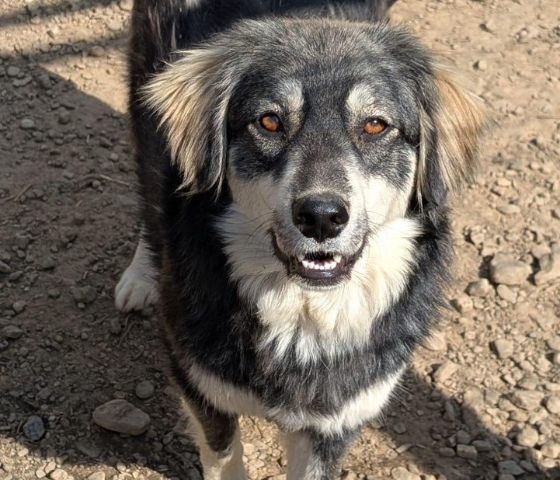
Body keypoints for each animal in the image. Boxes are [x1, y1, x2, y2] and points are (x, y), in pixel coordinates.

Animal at [114, 1, 484, 478]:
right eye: (269, 121)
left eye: (375, 125)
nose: (322, 217)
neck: (303, 316)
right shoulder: (199, 384)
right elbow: (223, 458)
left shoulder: (338, 418)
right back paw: (140, 276)